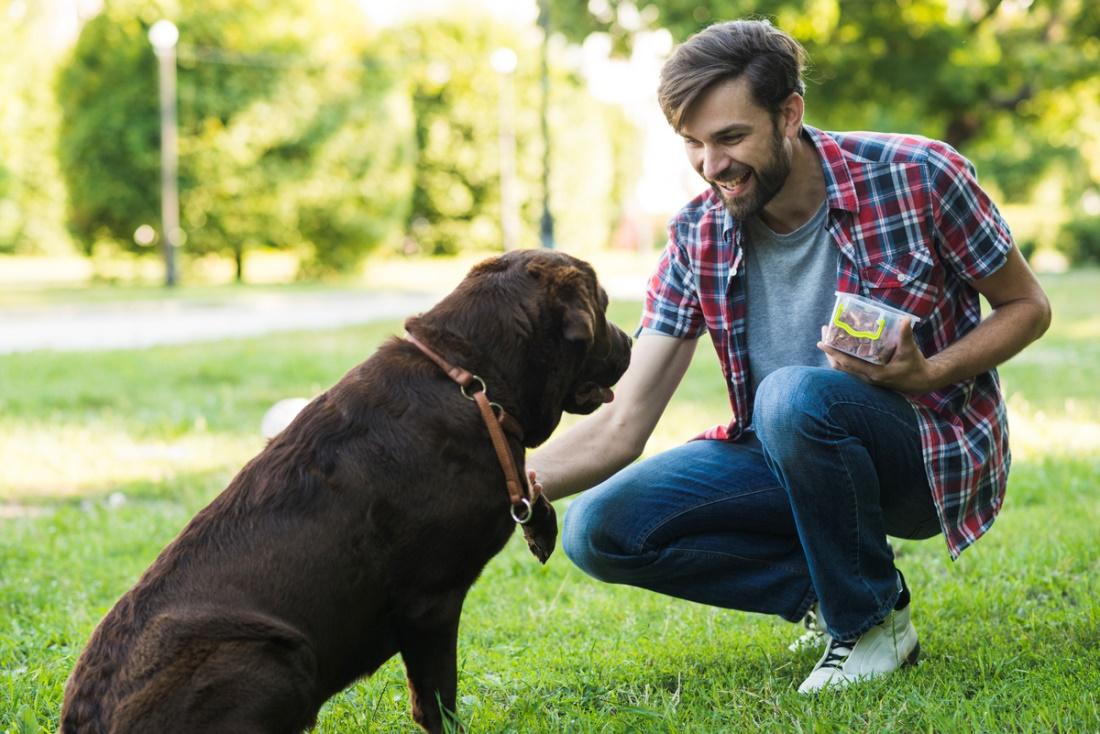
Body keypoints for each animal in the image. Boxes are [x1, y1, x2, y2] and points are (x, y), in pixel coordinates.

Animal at [60, 249, 633, 730]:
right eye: (604, 305)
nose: (630, 341)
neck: (470, 380)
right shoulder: (430, 600)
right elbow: (436, 701)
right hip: (275, 655)